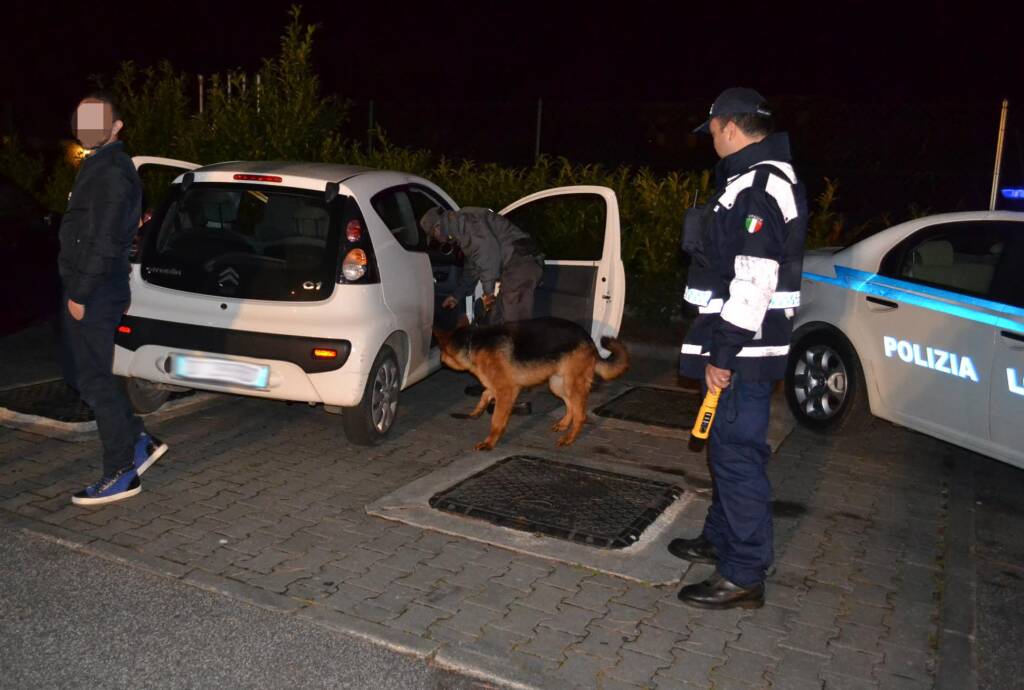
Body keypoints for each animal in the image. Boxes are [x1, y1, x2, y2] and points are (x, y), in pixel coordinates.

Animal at [434, 319, 626, 450]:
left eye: (442, 351)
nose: (440, 361)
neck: (472, 342)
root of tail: (589, 339)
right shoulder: (496, 386)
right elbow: (484, 393)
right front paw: (477, 411)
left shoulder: (506, 391)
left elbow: (497, 419)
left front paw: (490, 442)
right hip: (557, 384)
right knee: (571, 406)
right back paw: (564, 424)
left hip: (572, 384)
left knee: (581, 415)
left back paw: (569, 438)